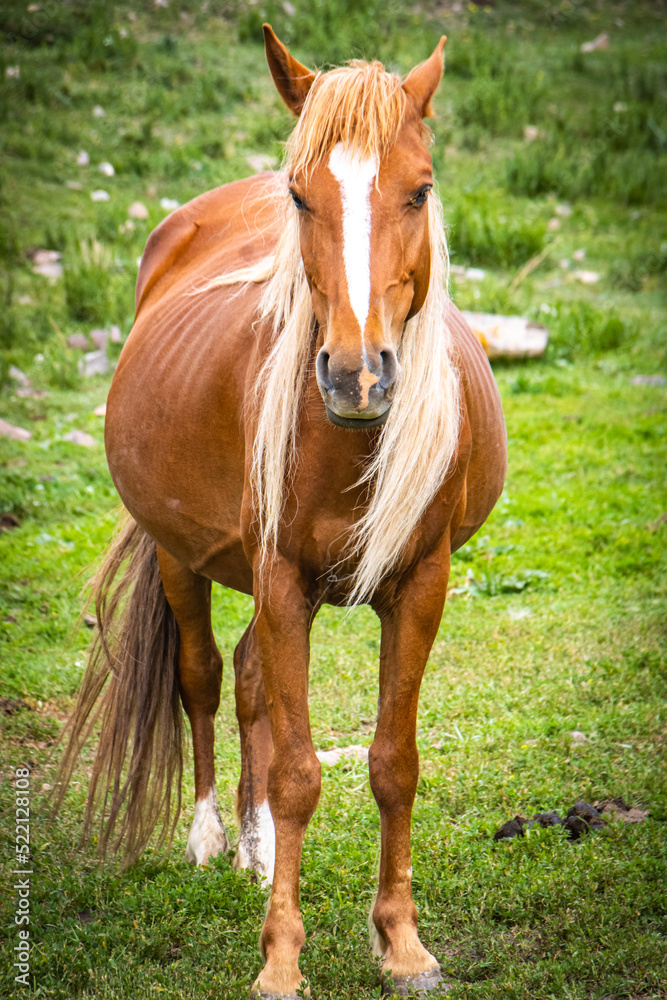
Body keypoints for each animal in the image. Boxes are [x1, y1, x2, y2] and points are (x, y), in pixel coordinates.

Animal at [58, 25, 507, 999]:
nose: (357, 376)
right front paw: (280, 958)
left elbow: (393, 764)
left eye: (420, 189)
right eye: (300, 195)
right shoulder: (282, 581)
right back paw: (209, 834)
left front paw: (402, 944)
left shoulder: (420, 585)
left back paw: (257, 847)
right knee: (201, 676)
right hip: (183, 555)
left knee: (250, 680)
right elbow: (301, 773)